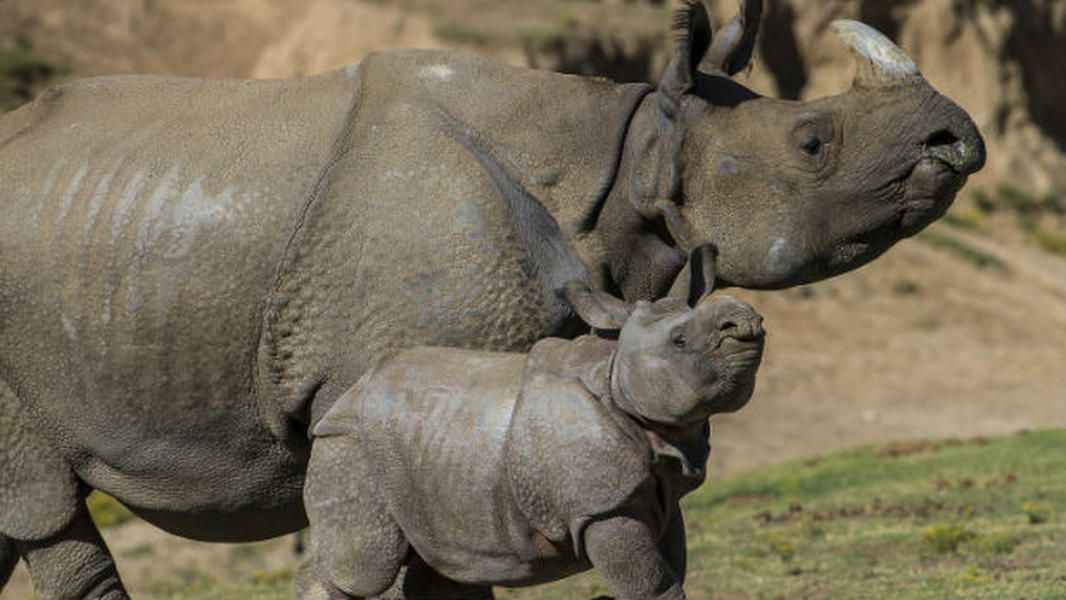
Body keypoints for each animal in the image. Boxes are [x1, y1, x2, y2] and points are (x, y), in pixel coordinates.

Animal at [300, 274, 763, 596]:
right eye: (680, 340)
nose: (746, 320)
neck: (616, 379)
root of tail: (350, 392)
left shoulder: (658, 490)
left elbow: (673, 571)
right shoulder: (602, 504)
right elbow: (652, 586)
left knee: (438, 570)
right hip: (350, 444)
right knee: (363, 569)